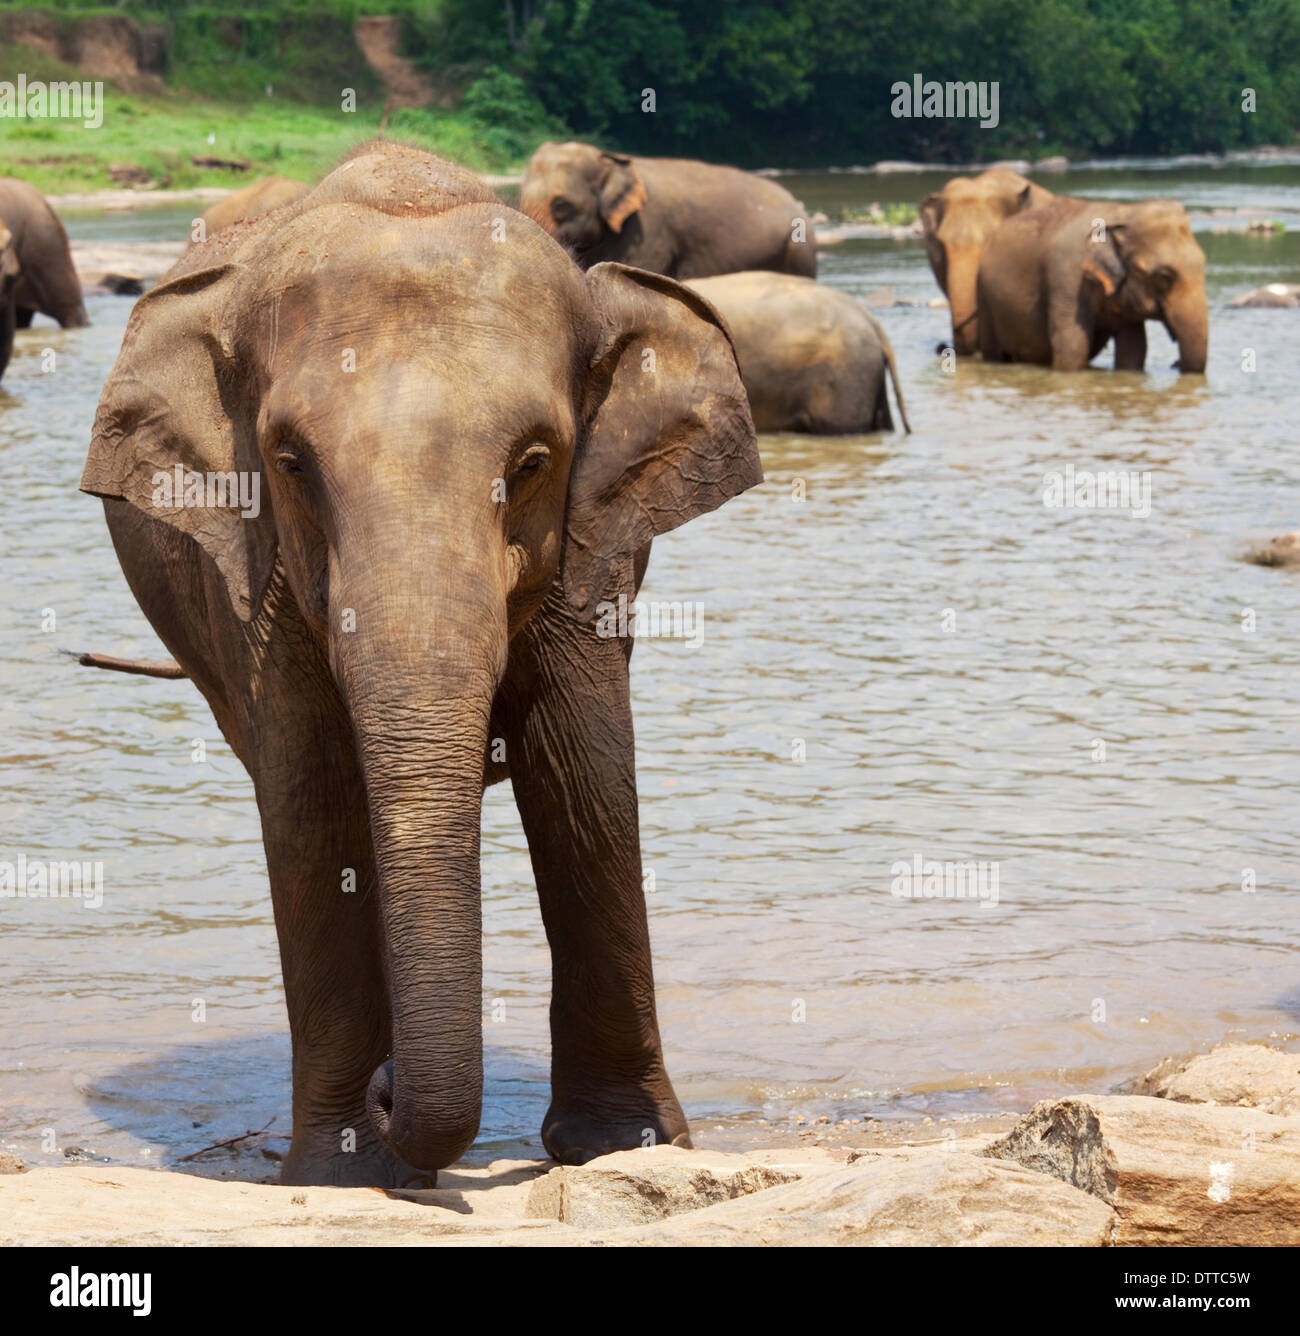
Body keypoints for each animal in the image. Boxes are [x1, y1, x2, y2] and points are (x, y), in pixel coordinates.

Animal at [80, 141, 761, 1188]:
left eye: (534, 462)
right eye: (288, 462)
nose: (389, 1093)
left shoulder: (592, 546)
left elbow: (586, 780)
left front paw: (625, 1148)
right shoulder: (260, 579)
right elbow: (312, 806)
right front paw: (346, 1176)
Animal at [976, 197, 1208, 373]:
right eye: (1163, 277)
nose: (1175, 363)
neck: (1123, 212)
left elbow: (1133, 350)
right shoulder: (1067, 277)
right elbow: (1073, 347)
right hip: (985, 298)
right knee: (993, 352)